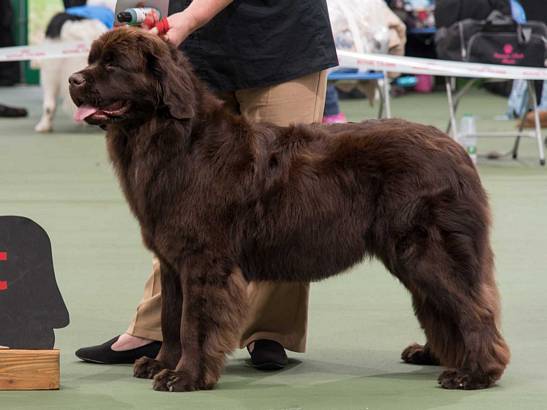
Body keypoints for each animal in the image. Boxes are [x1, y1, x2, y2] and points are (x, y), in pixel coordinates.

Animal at [68, 28, 510, 390]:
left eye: (113, 64)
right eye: (92, 59)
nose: (74, 79)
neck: (175, 139)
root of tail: (455, 149)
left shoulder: (203, 260)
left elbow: (194, 322)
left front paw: (185, 377)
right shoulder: (173, 260)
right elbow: (170, 318)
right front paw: (161, 364)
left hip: (426, 250)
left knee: (474, 309)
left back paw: (474, 373)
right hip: (409, 255)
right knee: (443, 307)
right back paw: (435, 356)